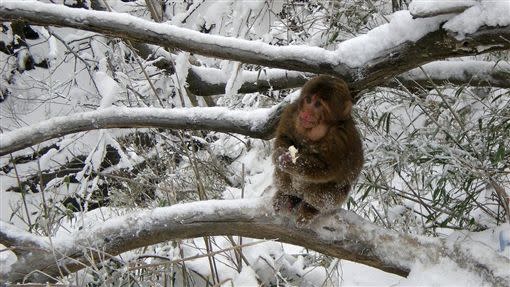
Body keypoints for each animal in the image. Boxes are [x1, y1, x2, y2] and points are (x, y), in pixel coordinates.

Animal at [272, 75, 364, 224]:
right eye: (309, 100)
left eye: (318, 104)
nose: (306, 112)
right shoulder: (291, 113)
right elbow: (283, 137)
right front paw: (279, 155)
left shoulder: (340, 139)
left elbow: (327, 169)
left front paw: (291, 163)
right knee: (282, 175)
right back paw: (287, 196)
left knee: (328, 191)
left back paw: (310, 208)